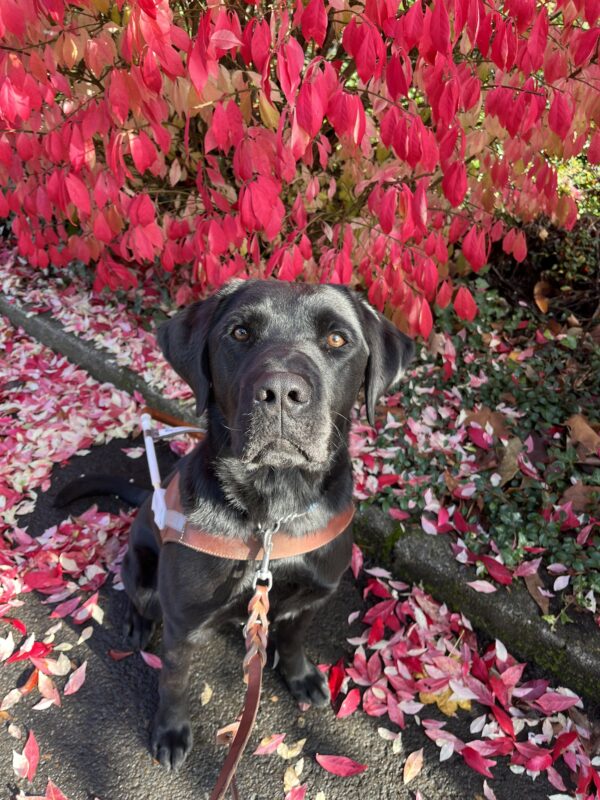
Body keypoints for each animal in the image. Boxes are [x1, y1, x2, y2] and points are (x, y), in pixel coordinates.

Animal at [119, 280, 412, 768]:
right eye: (239, 332)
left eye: (337, 339)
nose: (280, 392)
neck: (274, 512)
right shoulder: (182, 622)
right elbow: (174, 680)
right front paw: (171, 730)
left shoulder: (314, 595)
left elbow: (293, 639)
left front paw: (300, 676)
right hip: (140, 569)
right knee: (138, 599)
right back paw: (138, 625)